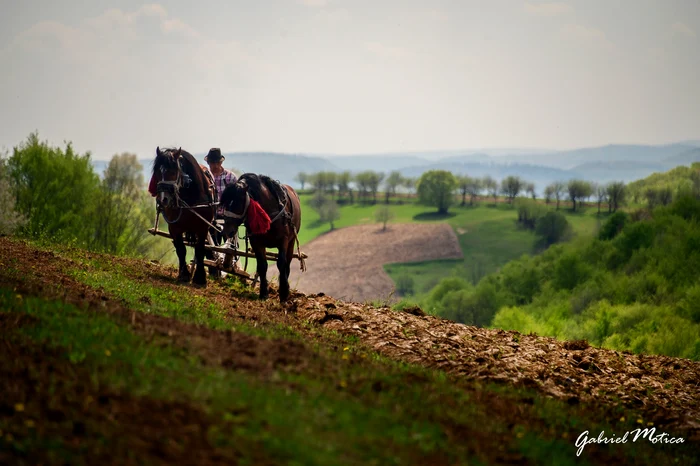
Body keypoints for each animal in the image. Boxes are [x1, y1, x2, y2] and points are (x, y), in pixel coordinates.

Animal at [152, 147, 217, 284]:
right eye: (157, 172)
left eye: (174, 171)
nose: (163, 200)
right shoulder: (174, 228)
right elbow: (181, 249)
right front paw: (184, 274)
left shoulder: (203, 228)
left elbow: (200, 249)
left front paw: (200, 277)